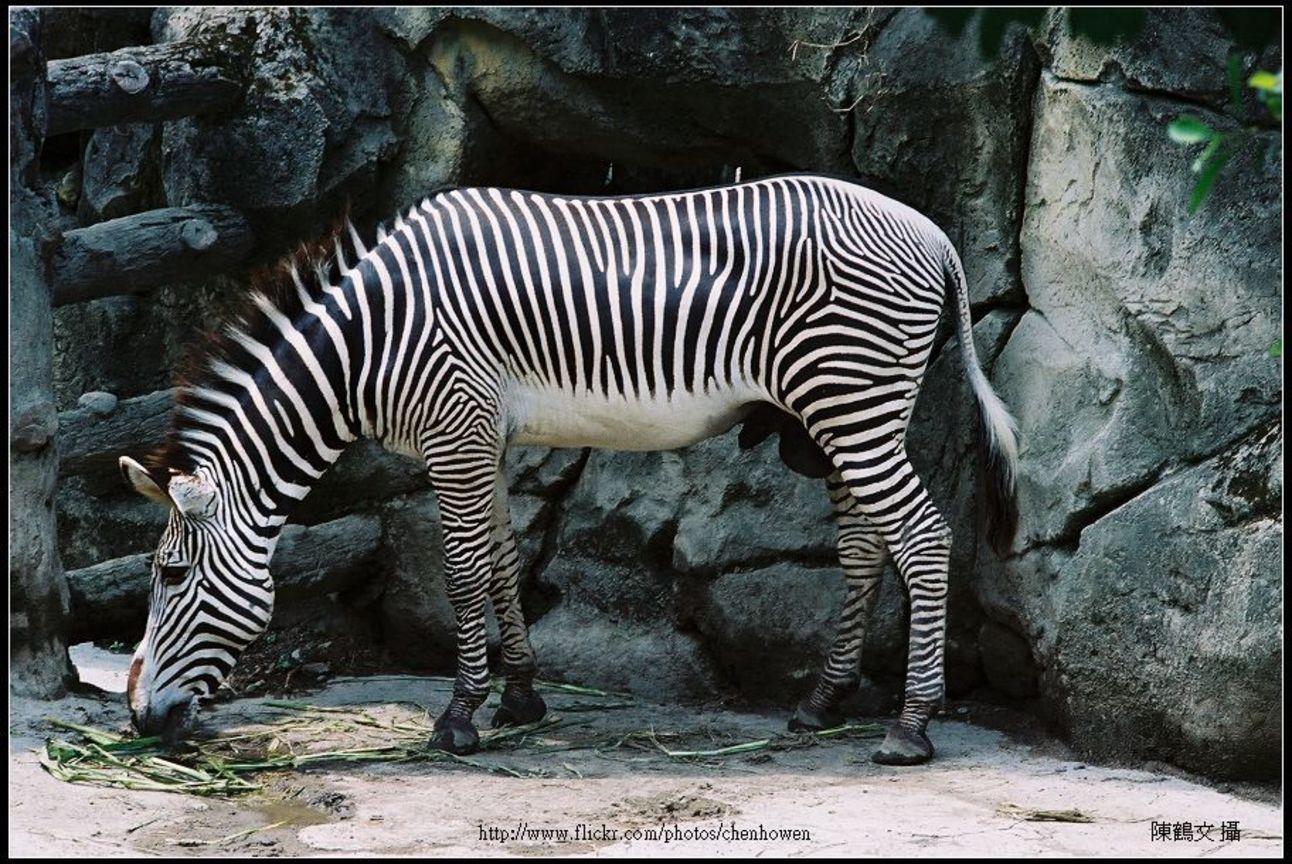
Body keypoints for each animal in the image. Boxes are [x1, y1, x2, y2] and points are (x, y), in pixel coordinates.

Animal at [118, 172, 1018, 766]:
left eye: (170, 575)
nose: (136, 721)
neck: (369, 341)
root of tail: (935, 234)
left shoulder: (454, 429)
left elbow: (461, 572)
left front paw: (458, 716)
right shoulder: (484, 434)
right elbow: (501, 560)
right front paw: (520, 695)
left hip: (850, 397)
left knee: (924, 538)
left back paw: (911, 725)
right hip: (846, 409)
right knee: (868, 544)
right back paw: (823, 702)